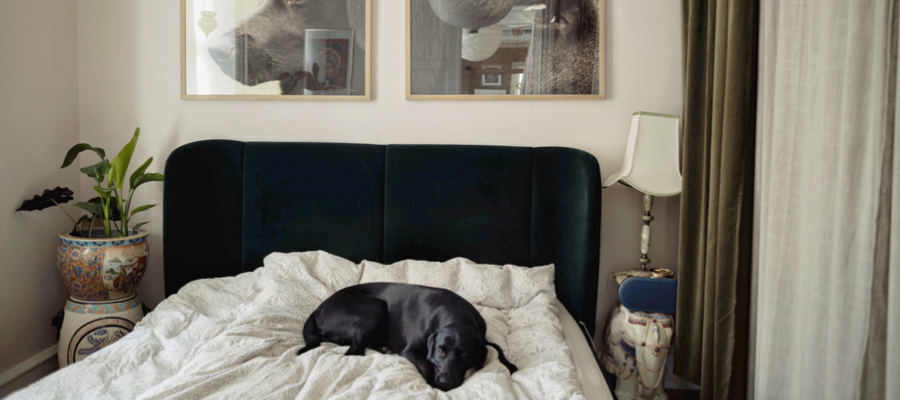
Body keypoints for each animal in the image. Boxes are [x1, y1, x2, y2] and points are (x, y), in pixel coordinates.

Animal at [298, 282, 516, 392]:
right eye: (440, 351)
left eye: (464, 355)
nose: (445, 382)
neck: (456, 314)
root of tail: (317, 310)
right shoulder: (411, 351)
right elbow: (426, 363)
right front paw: (432, 383)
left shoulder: (483, 338)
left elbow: (498, 348)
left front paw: (510, 365)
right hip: (374, 308)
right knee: (354, 351)